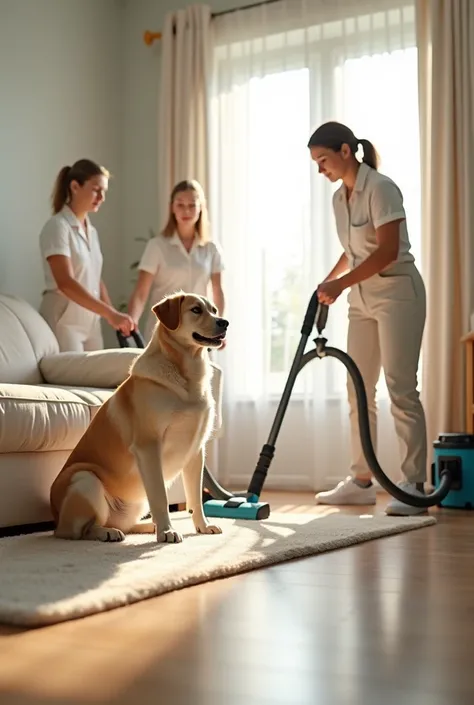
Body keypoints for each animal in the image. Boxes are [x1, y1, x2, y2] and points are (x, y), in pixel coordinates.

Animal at [49, 288, 230, 540]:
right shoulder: (149, 447)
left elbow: (195, 497)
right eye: (196, 310)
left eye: (213, 309)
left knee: (126, 524)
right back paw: (108, 532)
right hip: (85, 480)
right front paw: (167, 531)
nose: (224, 322)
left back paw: (146, 527)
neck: (185, 375)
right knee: (77, 531)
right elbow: (161, 497)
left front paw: (202, 526)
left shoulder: (196, 451)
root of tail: (55, 517)